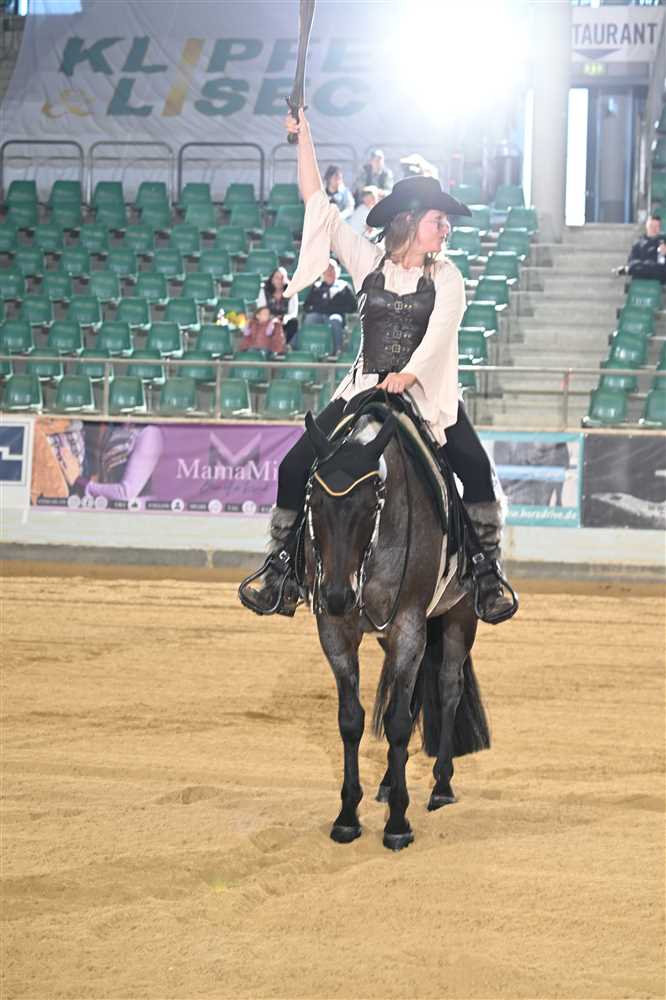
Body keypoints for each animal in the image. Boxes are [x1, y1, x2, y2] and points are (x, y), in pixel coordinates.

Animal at [300, 401, 490, 851]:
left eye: (370, 506)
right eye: (314, 502)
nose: (337, 595)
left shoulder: (408, 624)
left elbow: (400, 723)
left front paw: (398, 824)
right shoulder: (335, 631)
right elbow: (351, 719)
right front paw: (347, 817)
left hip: (458, 617)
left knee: (448, 687)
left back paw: (441, 787)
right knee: (413, 694)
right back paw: (388, 783)